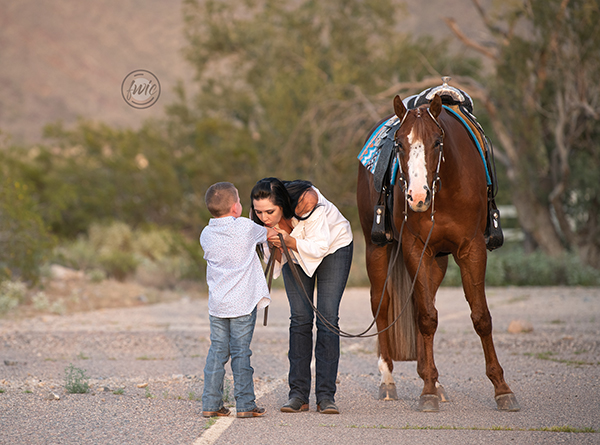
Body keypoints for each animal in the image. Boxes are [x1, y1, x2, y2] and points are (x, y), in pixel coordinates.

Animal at [356, 93, 520, 412]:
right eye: (399, 143)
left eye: (437, 141)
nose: (418, 197)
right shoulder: (414, 247)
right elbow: (426, 318)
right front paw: (428, 391)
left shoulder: (471, 249)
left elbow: (480, 317)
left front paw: (502, 388)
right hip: (376, 248)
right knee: (382, 305)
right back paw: (388, 381)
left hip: (438, 262)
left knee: (423, 302)